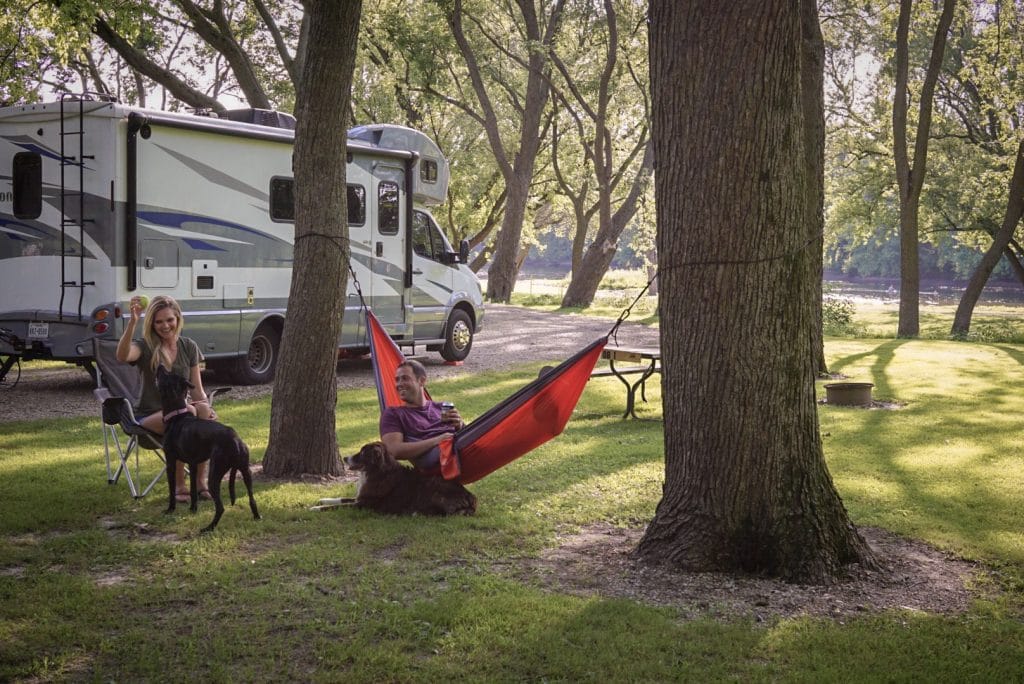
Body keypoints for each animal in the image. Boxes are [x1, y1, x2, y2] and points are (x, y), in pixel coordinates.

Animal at [156, 366, 260, 532]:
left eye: (165, 375)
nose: (159, 366)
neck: (177, 416)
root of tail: (235, 440)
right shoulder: (193, 464)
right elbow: (193, 490)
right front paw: (193, 509)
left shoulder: (171, 461)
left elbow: (172, 490)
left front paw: (170, 509)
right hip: (246, 472)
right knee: (252, 499)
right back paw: (256, 517)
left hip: (214, 475)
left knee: (220, 507)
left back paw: (209, 528)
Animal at [339, 440, 475, 516]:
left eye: (362, 453)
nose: (344, 458)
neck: (377, 471)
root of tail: (470, 496)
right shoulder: (359, 498)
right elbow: (341, 500)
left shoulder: (363, 504)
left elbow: (340, 505)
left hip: (433, 490)